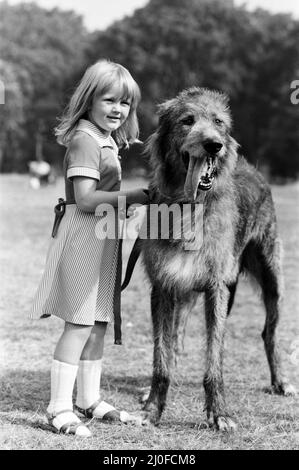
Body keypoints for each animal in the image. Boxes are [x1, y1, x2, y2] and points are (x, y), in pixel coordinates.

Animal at [122, 86, 296, 432]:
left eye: (218, 122)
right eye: (187, 120)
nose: (214, 144)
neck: (189, 206)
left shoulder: (216, 289)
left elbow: (214, 357)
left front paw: (220, 413)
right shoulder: (164, 286)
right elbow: (162, 356)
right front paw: (152, 409)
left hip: (272, 278)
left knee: (269, 332)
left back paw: (280, 381)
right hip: (186, 293)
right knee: (175, 340)